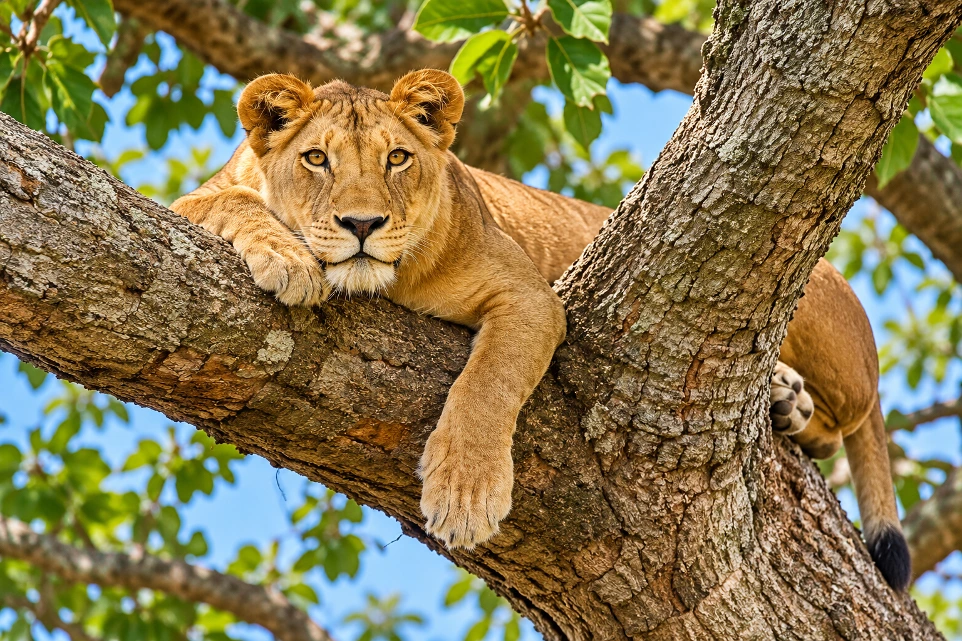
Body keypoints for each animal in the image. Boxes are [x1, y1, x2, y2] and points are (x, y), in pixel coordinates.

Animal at [170, 70, 910, 591]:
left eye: (398, 159)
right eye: (317, 159)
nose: (361, 225)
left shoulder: (529, 297)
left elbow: (488, 383)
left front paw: (466, 494)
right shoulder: (195, 197)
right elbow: (227, 201)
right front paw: (288, 257)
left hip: (823, 325)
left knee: (849, 417)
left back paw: (791, 401)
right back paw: (783, 397)